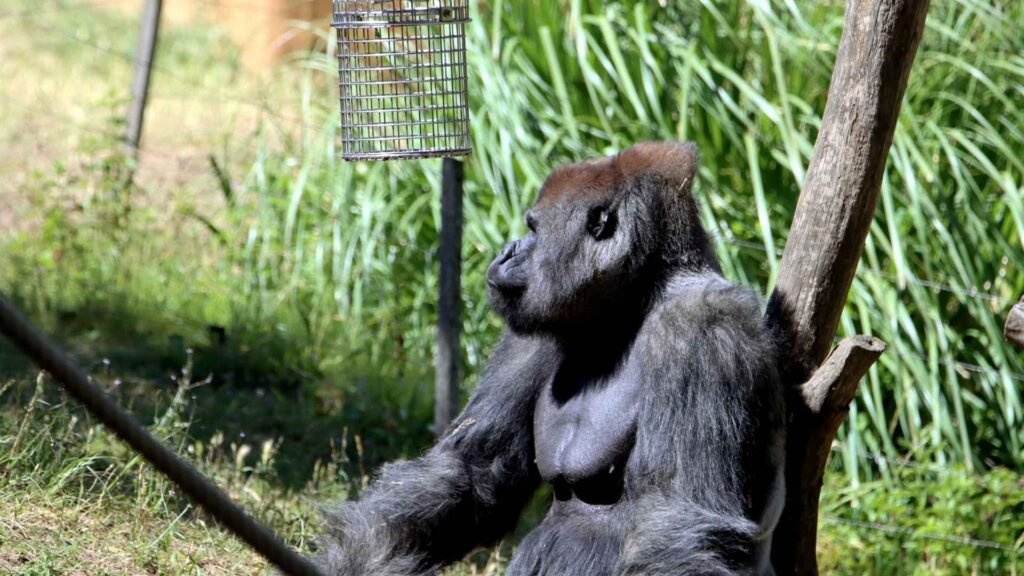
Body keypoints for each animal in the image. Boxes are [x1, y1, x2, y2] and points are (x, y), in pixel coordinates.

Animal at [315, 141, 786, 576]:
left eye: (534, 230)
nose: (507, 251)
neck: (632, 304)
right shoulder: (534, 329)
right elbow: (472, 472)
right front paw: (358, 558)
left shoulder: (702, 329)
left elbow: (678, 518)